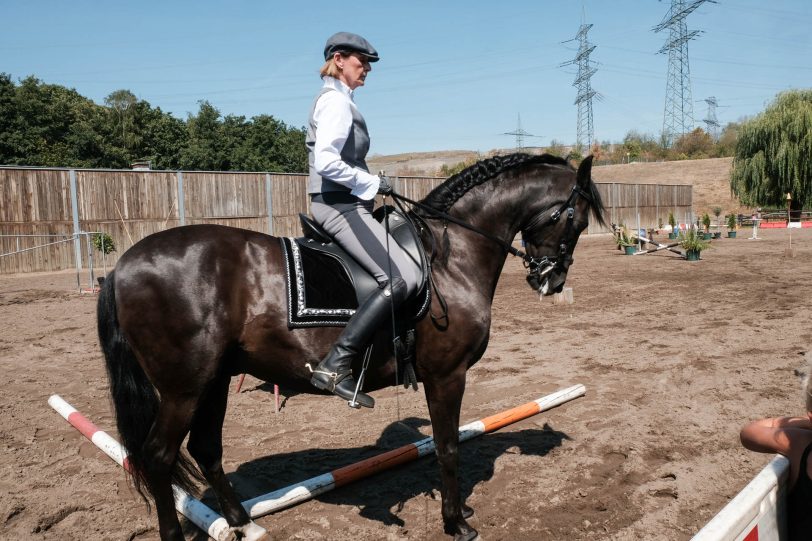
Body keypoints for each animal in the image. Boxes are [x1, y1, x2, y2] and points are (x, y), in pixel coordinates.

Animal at [96, 153, 604, 540]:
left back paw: (241, 521)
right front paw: (456, 523)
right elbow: (447, 446)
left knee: (205, 448)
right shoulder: (447, 375)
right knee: (159, 457)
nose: (552, 281)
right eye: (576, 220)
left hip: (214, 379)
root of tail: (123, 264)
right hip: (183, 388)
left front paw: (459, 513)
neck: (449, 255)